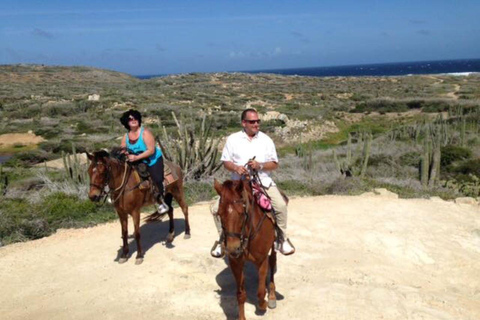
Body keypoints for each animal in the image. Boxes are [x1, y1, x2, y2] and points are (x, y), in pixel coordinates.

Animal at [215, 179, 278, 318]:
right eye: (219, 214)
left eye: (241, 214)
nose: (233, 248)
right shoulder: (236, 262)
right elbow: (240, 295)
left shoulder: (262, 260)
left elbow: (260, 293)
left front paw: (263, 304)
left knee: (272, 261)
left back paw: (271, 296)